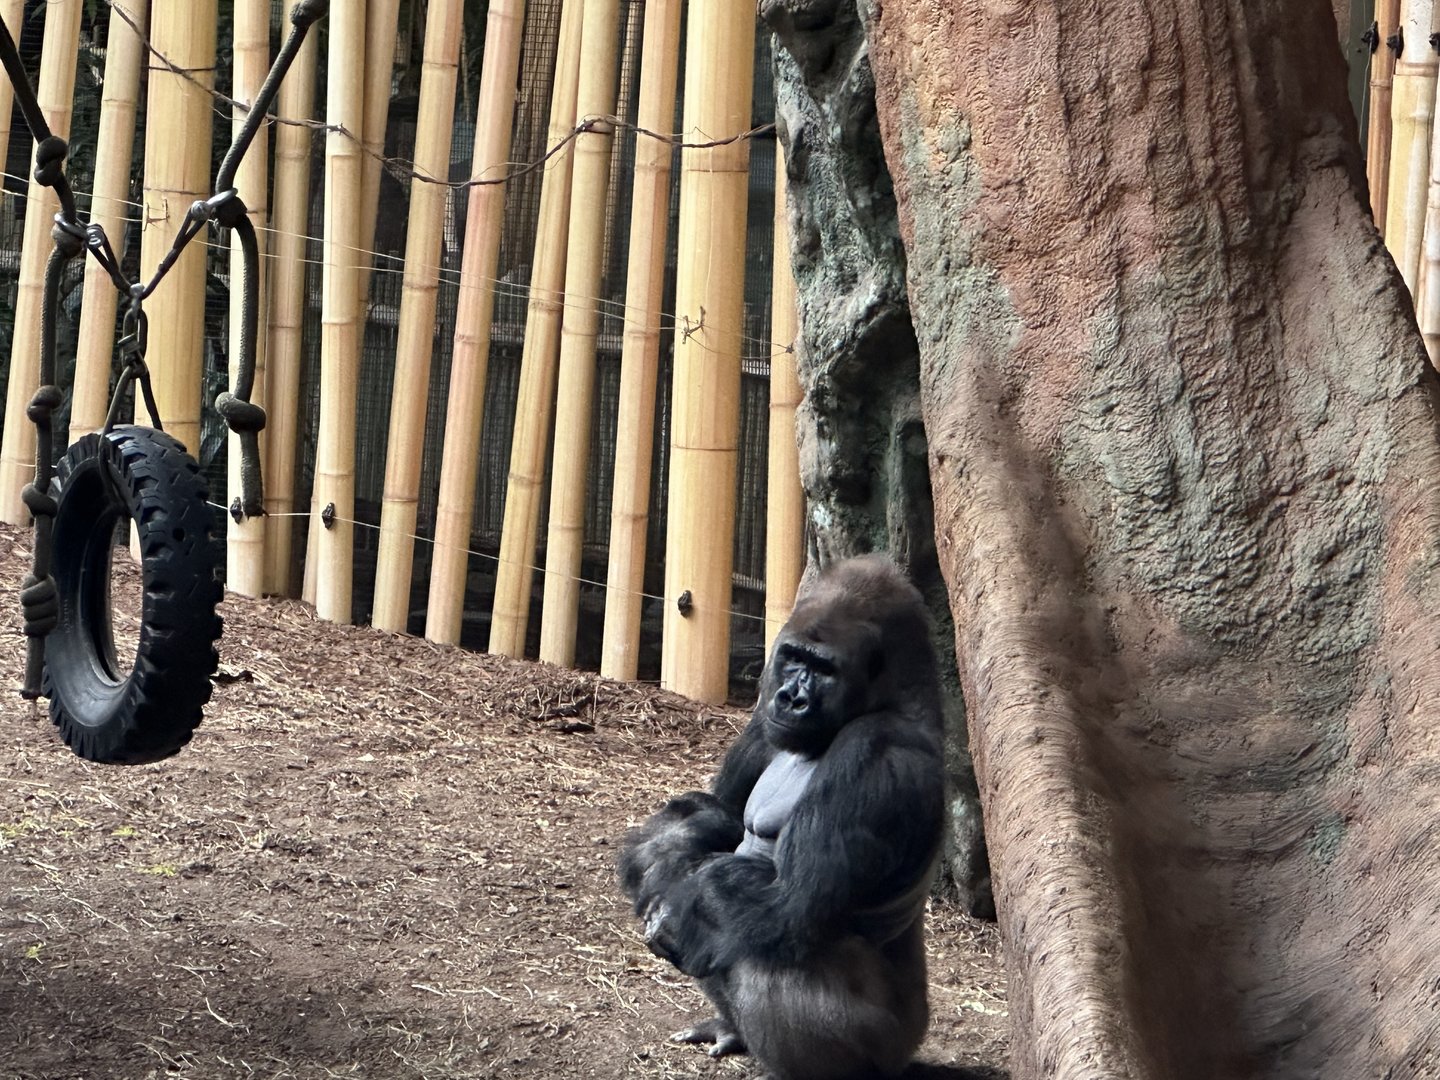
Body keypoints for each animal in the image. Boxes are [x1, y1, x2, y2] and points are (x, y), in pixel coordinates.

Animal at [619, 554, 947, 1080]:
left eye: (824, 668)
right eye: (793, 657)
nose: (792, 697)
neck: (893, 695)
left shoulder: (878, 752)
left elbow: (788, 904)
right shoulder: (763, 722)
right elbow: (715, 823)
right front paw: (674, 852)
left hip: (890, 1046)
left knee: (758, 944)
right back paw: (730, 1027)